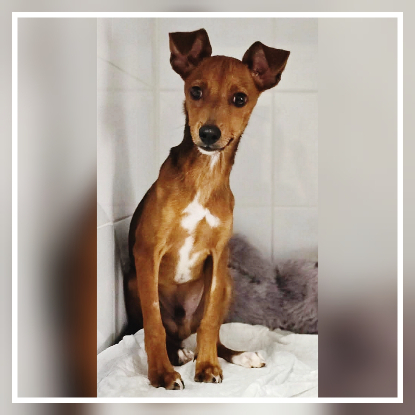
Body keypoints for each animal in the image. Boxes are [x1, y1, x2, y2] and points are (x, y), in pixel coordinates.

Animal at [124, 28, 290, 390]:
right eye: (195, 91)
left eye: (240, 99)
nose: (209, 134)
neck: (204, 176)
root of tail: (182, 324)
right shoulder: (148, 251)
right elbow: (153, 325)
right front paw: (160, 373)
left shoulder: (218, 254)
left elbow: (211, 323)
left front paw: (209, 365)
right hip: (134, 282)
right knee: (164, 329)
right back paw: (177, 353)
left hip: (226, 283)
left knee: (204, 330)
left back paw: (234, 355)